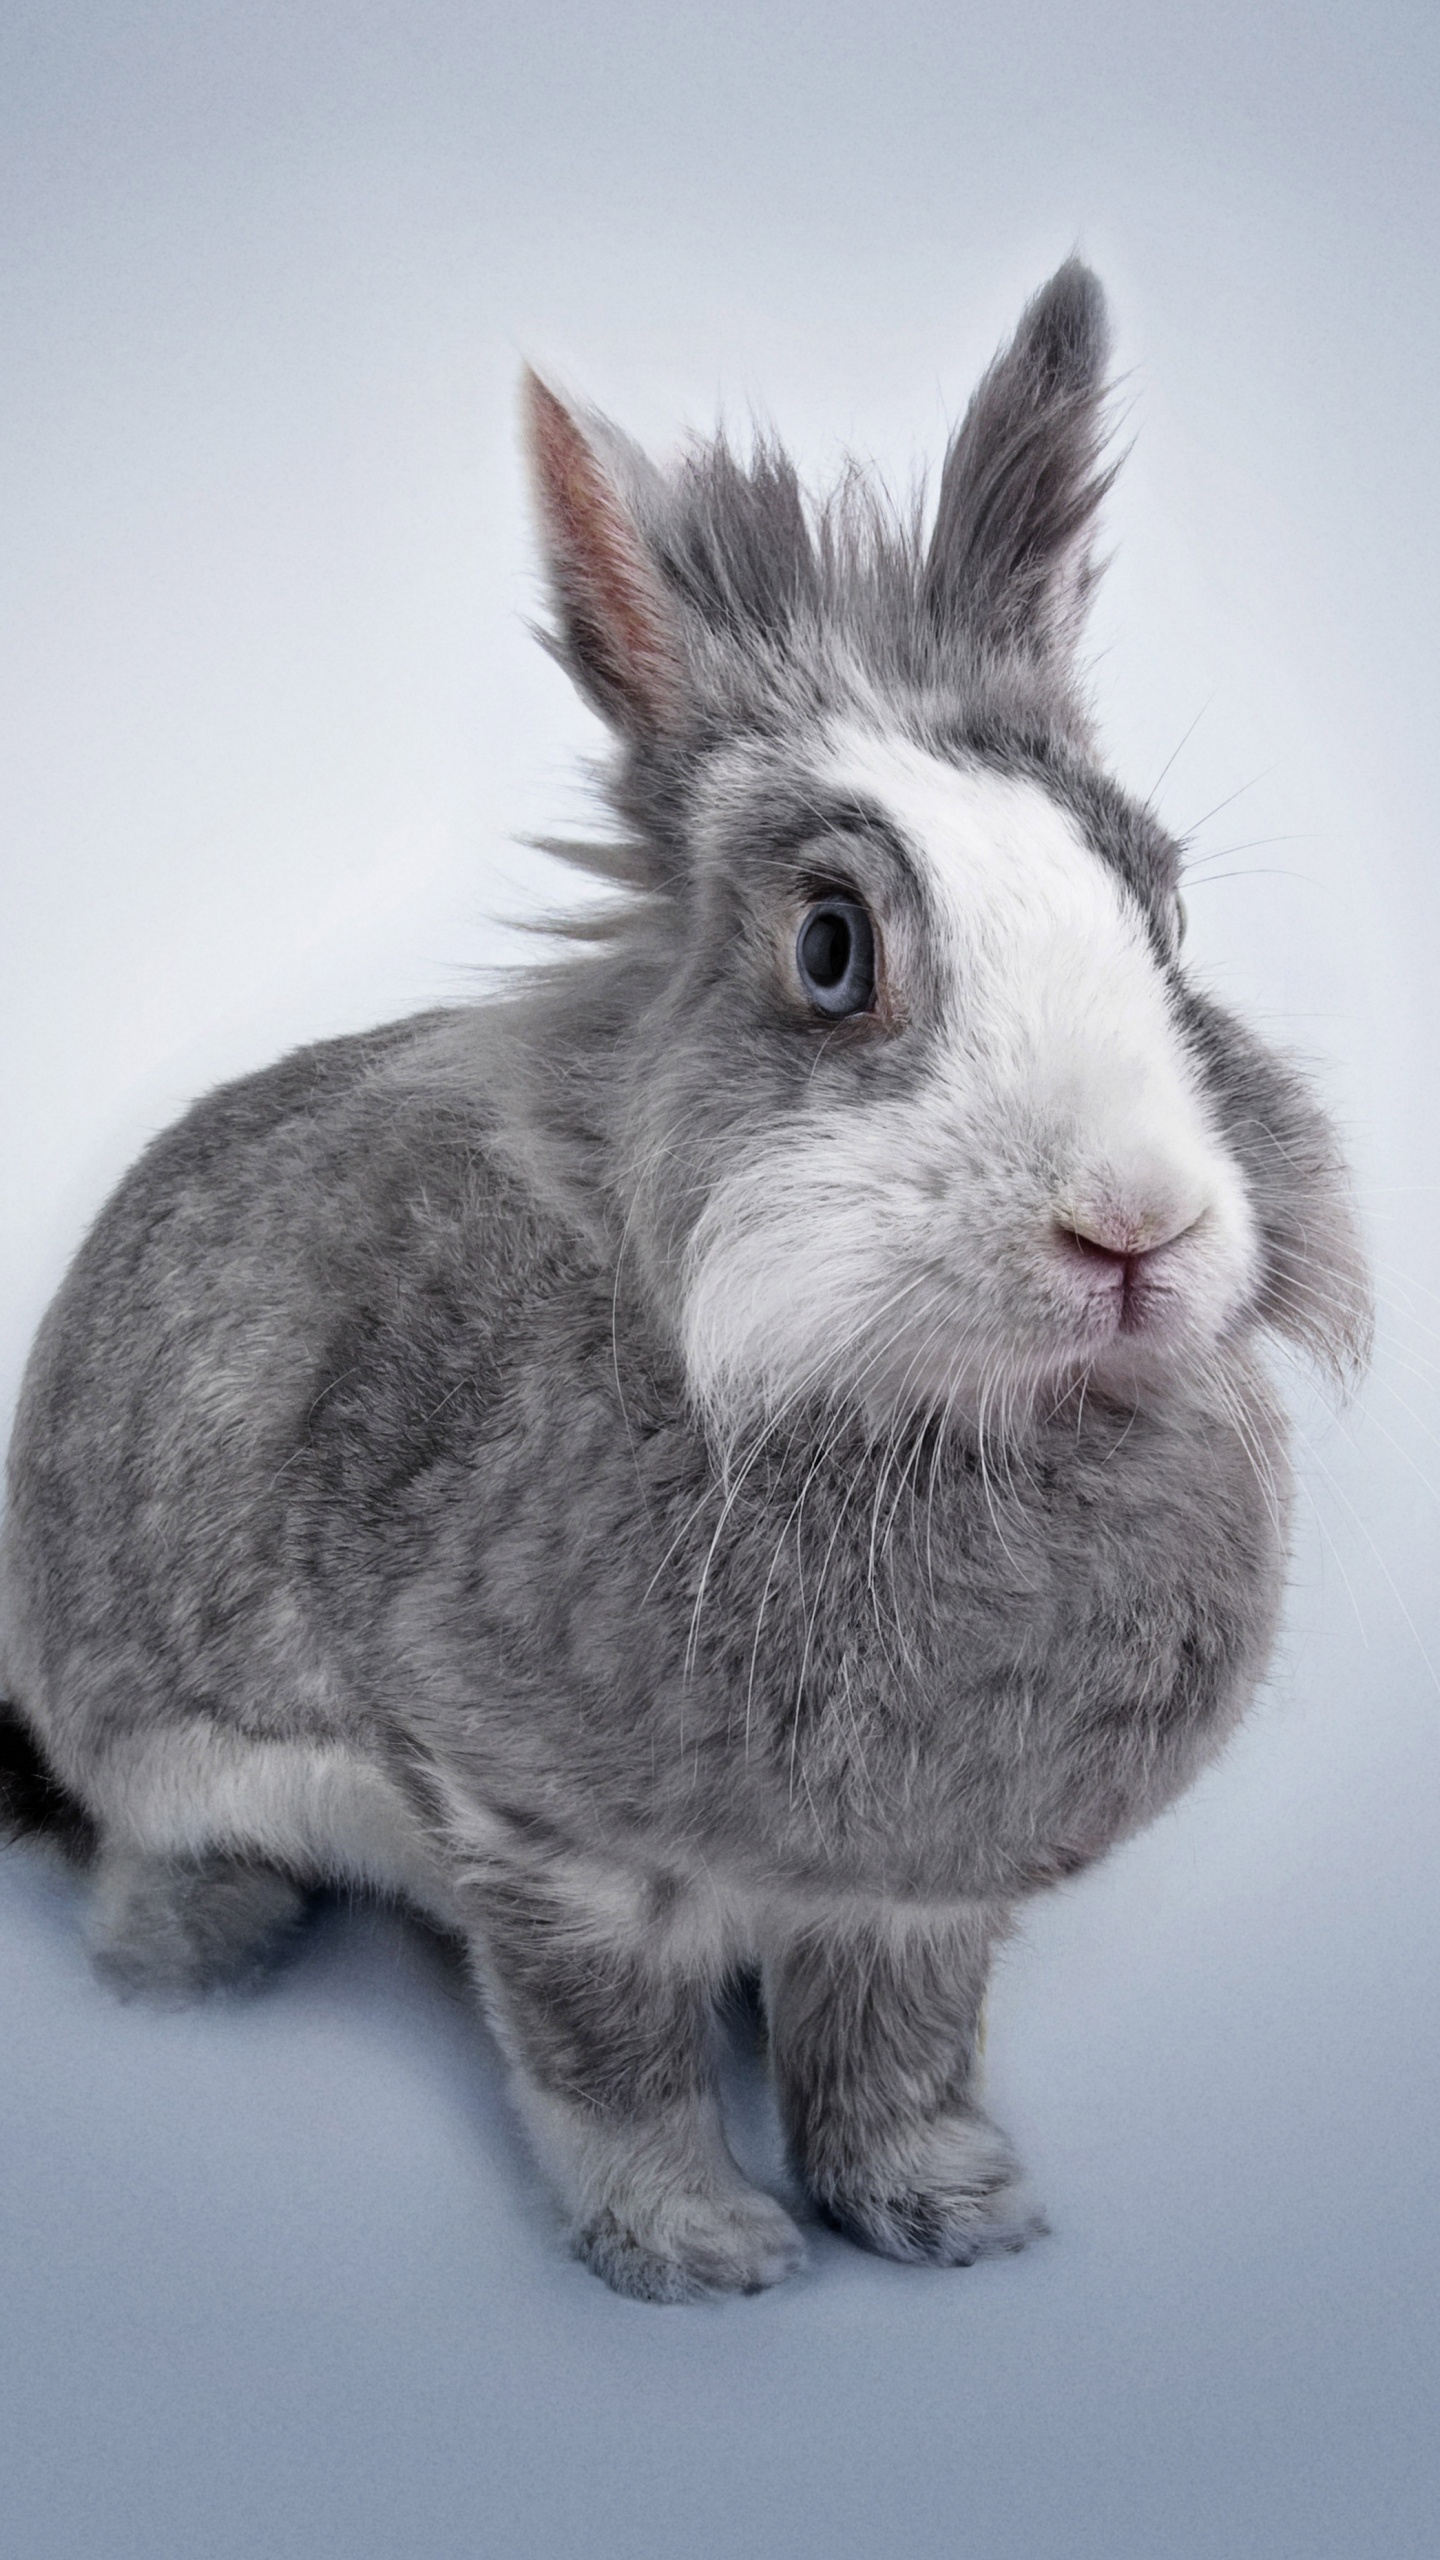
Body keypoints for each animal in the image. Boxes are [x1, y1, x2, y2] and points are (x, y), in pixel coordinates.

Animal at [0, 262, 1370, 2303]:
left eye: (1168, 913)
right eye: (832, 948)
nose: (1135, 1230)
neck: (911, 1425)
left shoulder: (910, 1899)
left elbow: (898, 2051)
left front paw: (953, 2213)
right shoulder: (531, 1837)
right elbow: (608, 2061)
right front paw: (700, 2251)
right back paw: (198, 1966)